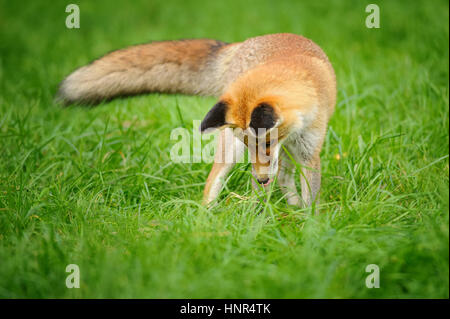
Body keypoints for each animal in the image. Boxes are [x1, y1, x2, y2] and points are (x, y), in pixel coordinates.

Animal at [58, 33, 336, 209]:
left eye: (267, 144)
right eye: (251, 147)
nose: (260, 180)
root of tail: (243, 43)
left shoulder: (309, 151)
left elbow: (309, 196)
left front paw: (308, 225)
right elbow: (262, 199)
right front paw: (259, 222)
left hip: (284, 152)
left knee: (284, 178)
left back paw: (291, 203)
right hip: (229, 148)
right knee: (212, 183)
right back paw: (206, 221)